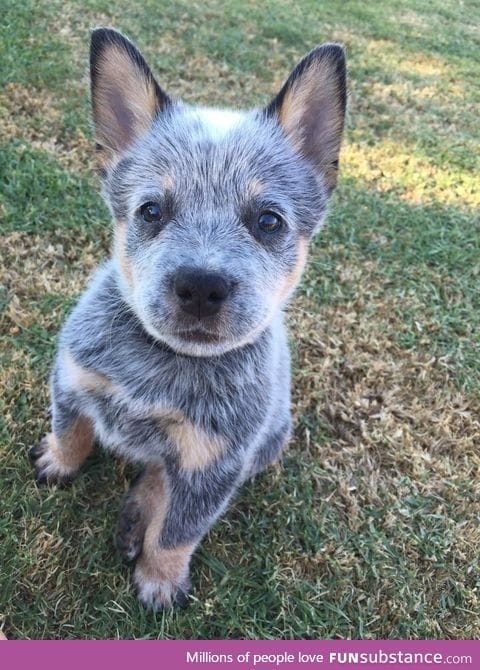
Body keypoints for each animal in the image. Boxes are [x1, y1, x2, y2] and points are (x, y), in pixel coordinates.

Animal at [31, 28, 344, 612]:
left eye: (269, 221)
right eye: (152, 210)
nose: (201, 285)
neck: (159, 369)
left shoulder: (214, 464)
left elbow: (178, 531)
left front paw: (159, 580)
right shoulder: (70, 376)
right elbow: (71, 429)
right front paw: (59, 462)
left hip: (270, 440)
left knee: (161, 478)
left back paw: (138, 516)